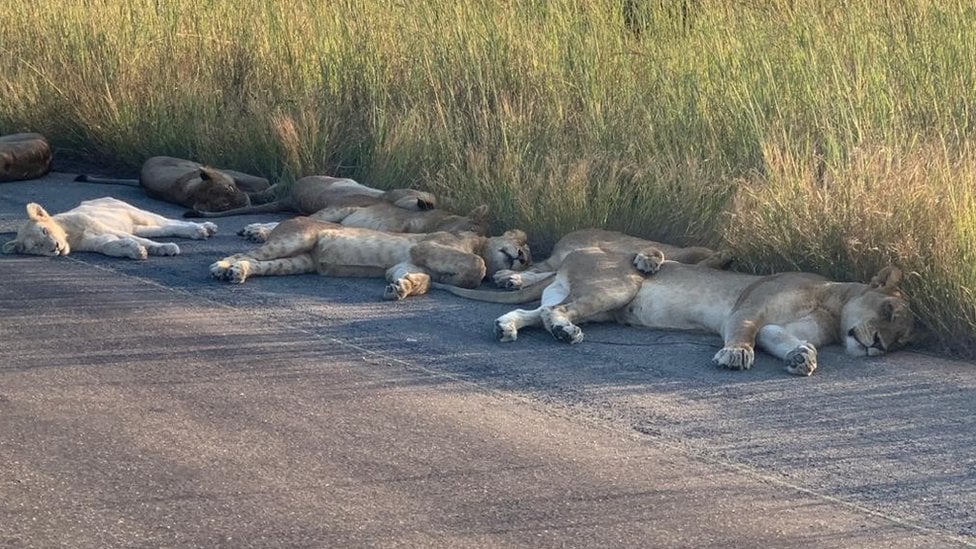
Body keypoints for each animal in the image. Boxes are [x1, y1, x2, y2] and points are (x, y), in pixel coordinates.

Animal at [1, 197, 218, 260]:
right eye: (37, 247)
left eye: (45, 231)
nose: (55, 247)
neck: (69, 236)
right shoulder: (96, 242)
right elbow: (109, 246)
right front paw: (135, 251)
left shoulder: (101, 226)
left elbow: (144, 241)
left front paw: (165, 248)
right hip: (138, 226)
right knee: (164, 229)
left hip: (137, 213)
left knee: (170, 221)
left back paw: (203, 228)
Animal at [210, 215, 528, 300]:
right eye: (522, 244)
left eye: (529, 256)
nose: (522, 258)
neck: (479, 243)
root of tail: (289, 219)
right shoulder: (425, 246)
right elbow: (479, 265)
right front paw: (466, 277)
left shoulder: (404, 263)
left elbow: (421, 280)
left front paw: (401, 289)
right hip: (297, 238)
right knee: (244, 252)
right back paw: (221, 267)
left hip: (297, 262)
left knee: (258, 263)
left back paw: (238, 272)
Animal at [438, 246, 912, 374]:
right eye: (889, 309)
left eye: (903, 340)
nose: (879, 346)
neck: (832, 305)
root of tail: (576, 253)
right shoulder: (748, 309)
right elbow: (742, 332)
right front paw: (735, 355)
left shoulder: (776, 326)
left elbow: (782, 340)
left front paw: (802, 357)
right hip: (618, 286)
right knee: (559, 314)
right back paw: (564, 334)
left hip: (596, 303)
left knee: (538, 313)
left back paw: (507, 327)